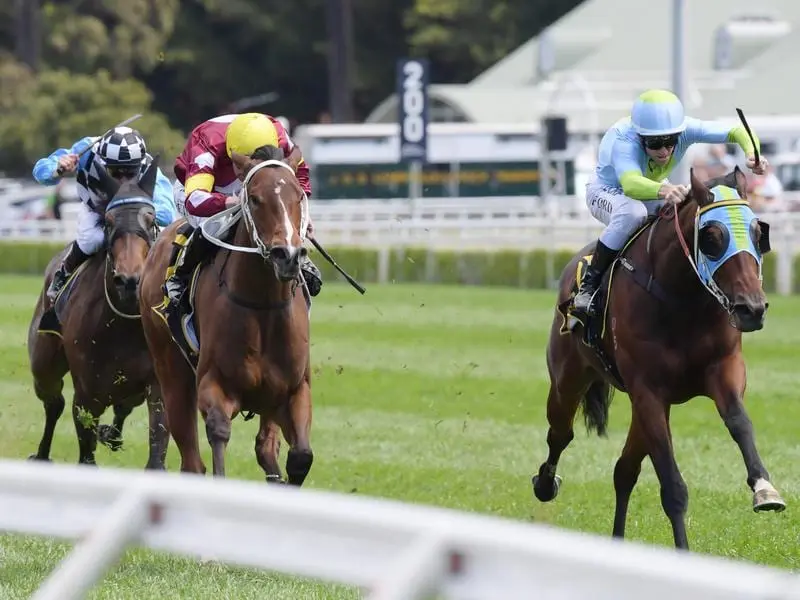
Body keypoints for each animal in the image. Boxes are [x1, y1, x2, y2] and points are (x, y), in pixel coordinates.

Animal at [28, 159, 170, 468]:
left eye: (151, 220)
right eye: (109, 221)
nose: (130, 280)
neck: (124, 324)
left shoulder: (157, 382)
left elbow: (158, 446)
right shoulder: (86, 392)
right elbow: (86, 450)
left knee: (123, 406)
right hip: (44, 363)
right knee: (53, 402)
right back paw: (41, 454)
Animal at [138, 148, 312, 486]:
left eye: (299, 196)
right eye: (255, 198)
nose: (288, 255)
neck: (263, 305)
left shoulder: (295, 389)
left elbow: (300, 457)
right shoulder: (214, 384)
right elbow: (218, 432)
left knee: (265, 448)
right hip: (171, 371)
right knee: (192, 460)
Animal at [536, 166, 784, 552]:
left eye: (759, 233)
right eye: (712, 236)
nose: (752, 309)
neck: (682, 300)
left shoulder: (723, 369)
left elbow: (739, 421)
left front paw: (764, 488)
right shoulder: (649, 392)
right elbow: (672, 487)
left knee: (624, 470)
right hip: (568, 381)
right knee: (560, 434)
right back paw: (545, 484)